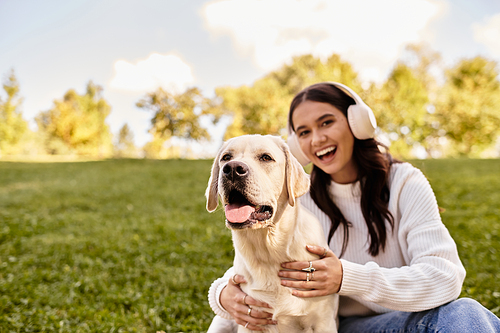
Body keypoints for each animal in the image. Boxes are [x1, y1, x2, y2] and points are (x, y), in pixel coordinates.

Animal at [205, 135, 338, 332]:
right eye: (226, 158)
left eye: (266, 158)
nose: (233, 169)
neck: (270, 252)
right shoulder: (249, 323)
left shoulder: (324, 321)